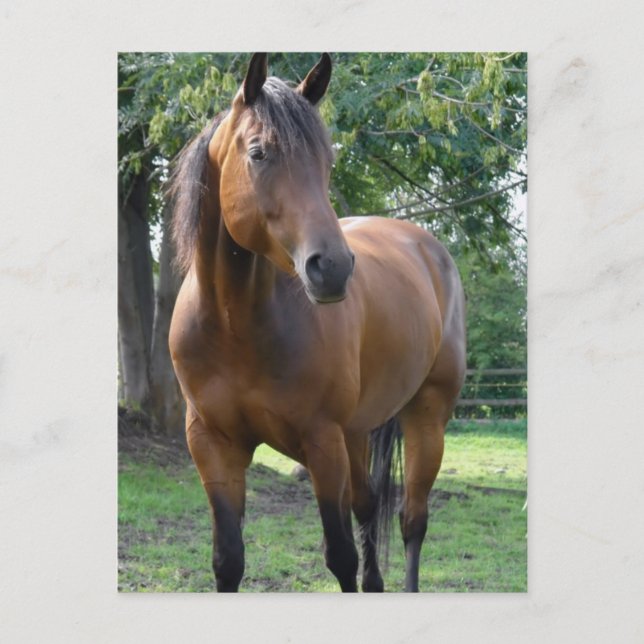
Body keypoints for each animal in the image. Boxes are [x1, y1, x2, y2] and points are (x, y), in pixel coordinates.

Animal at [168, 53, 466, 592]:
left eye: (327, 161)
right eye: (259, 153)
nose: (333, 267)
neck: (235, 326)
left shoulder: (322, 443)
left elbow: (340, 555)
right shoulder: (212, 446)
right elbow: (228, 560)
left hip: (426, 418)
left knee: (411, 521)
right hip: (358, 433)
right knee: (370, 507)